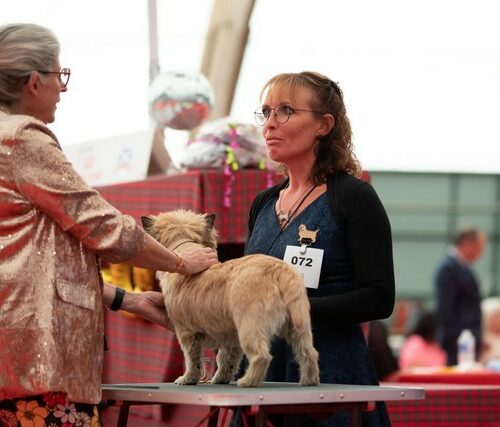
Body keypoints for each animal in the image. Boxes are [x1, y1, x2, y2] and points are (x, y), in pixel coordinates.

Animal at [141, 211, 320, 388]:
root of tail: (278, 271)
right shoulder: (231, 337)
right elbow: (227, 360)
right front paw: (221, 378)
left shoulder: (187, 333)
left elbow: (193, 359)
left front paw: (187, 379)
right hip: (299, 325)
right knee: (309, 353)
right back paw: (309, 381)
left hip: (250, 325)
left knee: (262, 356)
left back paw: (248, 381)